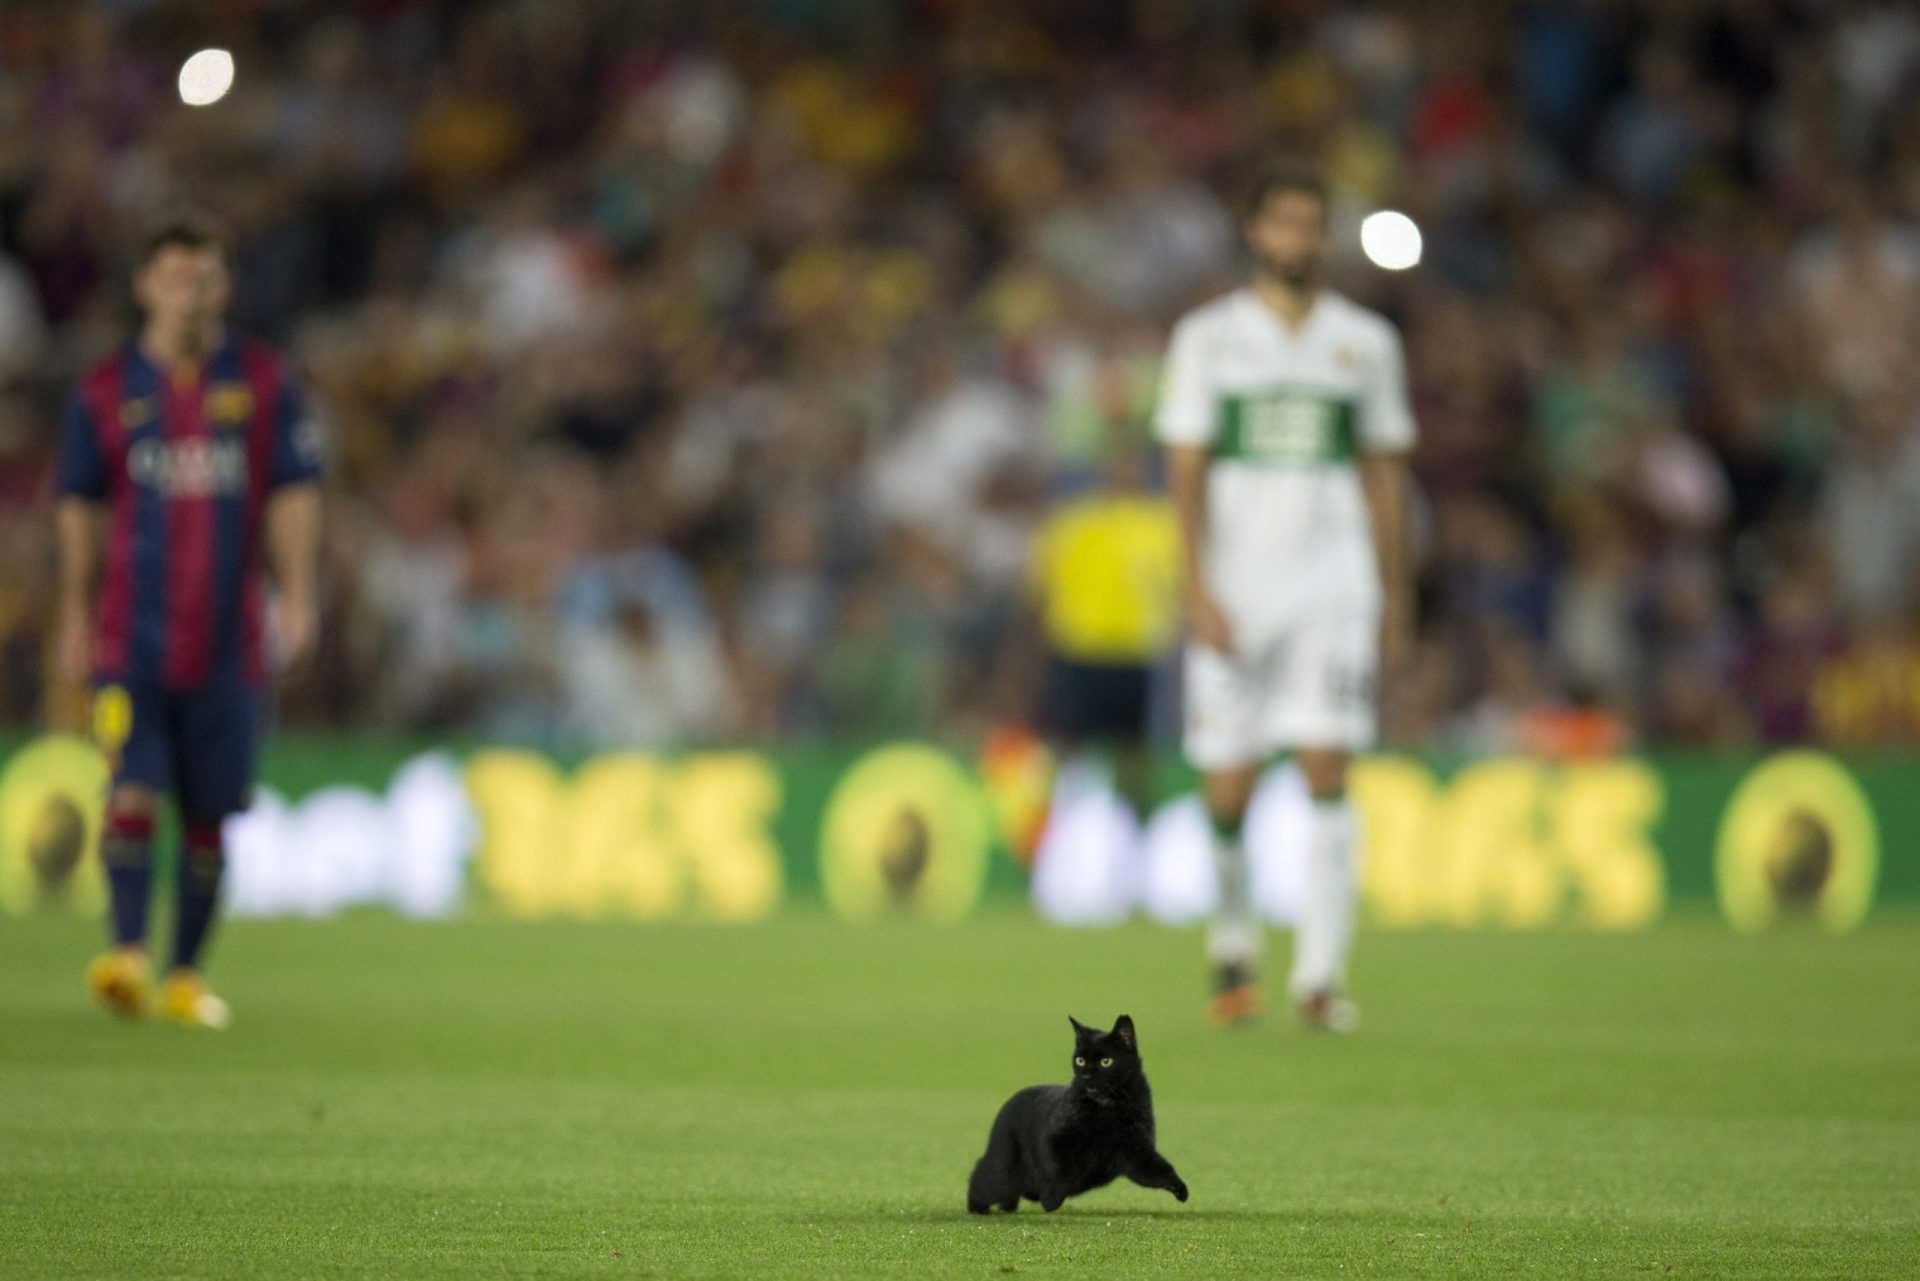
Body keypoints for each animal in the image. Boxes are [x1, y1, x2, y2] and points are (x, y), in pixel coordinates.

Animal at [975, 1014, 1182, 1221]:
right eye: (1080, 1060)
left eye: (1106, 1061)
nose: (1086, 1076)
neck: (1106, 1107)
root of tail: (1009, 1102)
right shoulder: (1056, 1139)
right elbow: (1059, 1170)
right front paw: (1051, 1200)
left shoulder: (1135, 1149)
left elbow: (1157, 1170)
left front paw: (1180, 1189)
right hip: (1002, 1170)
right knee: (981, 1177)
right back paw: (978, 1208)